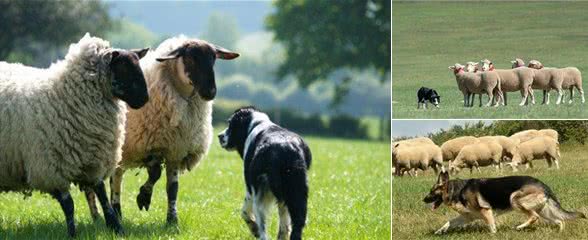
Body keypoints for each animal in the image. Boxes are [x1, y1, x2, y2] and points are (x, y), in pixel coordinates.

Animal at [82, 35, 239, 225]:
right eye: (190, 58)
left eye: (214, 58)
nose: (210, 92)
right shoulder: (153, 146)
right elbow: (155, 174)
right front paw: (143, 197)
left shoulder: (176, 150)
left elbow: (172, 188)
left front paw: (172, 220)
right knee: (102, 183)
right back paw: (100, 215)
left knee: (116, 177)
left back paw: (114, 212)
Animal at [216, 107, 308, 240]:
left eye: (230, 124)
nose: (219, 136)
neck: (256, 123)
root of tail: (282, 148)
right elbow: (284, 223)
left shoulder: (250, 188)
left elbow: (244, 213)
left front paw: (254, 229)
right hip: (297, 192)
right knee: (297, 224)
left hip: (260, 195)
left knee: (263, 229)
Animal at [422, 172, 584, 233]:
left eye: (431, 191)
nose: (423, 199)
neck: (457, 190)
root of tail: (543, 185)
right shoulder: (467, 217)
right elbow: (449, 222)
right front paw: (439, 232)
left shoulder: (486, 211)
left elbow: (492, 228)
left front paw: (493, 235)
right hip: (544, 211)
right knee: (560, 220)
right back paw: (559, 232)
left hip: (514, 199)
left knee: (534, 217)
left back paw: (519, 227)